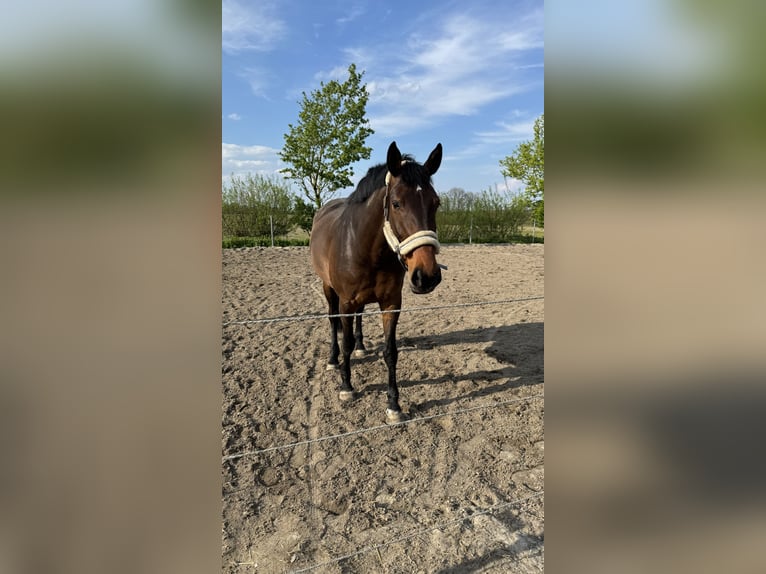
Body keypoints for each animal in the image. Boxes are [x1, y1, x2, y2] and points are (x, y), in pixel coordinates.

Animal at [310, 141, 444, 423]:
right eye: (396, 203)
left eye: (436, 203)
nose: (426, 275)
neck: (366, 248)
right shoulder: (346, 302)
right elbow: (346, 342)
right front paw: (346, 386)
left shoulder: (391, 304)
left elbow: (390, 352)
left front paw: (393, 404)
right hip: (328, 289)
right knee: (333, 323)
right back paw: (332, 359)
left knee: (360, 319)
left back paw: (362, 347)